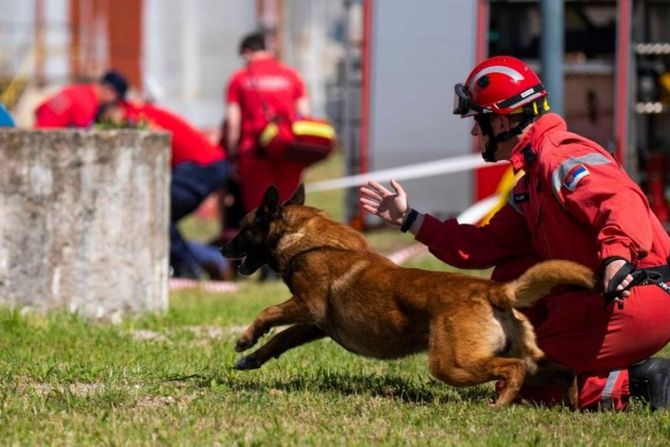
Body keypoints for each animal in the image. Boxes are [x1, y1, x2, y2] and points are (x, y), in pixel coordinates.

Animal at [223, 184, 596, 408]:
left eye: (242, 228)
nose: (223, 248)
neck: (308, 240)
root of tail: (492, 290)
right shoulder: (316, 324)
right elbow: (280, 339)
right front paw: (251, 358)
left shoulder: (306, 306)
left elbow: (268, 312)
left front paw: (244, 340)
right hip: (525, 358)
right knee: (562, 370)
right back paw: (572, 404)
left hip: (451, 364)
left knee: (513, 368)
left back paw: (501, 404)